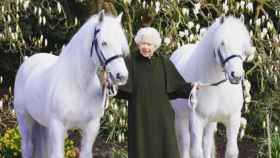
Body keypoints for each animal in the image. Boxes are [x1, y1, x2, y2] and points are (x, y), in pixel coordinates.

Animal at [13, 11, 129, 158]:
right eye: (104, 43)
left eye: (121, 44)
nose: (122, 76)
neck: (78, 85)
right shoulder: (57, 127)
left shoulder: (91, 127)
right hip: (25, 121)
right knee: (27, 146)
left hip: (44, 125)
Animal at [171, 16, 256, 158]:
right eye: (222, 43)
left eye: (243, 45)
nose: (237, 75)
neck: (217, 87)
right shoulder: (196, 121)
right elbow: (196, 152)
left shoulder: (233, 119)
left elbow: (231, 151)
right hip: (181, 118)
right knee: (185, 145)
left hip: (210, 122)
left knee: (206, 143)